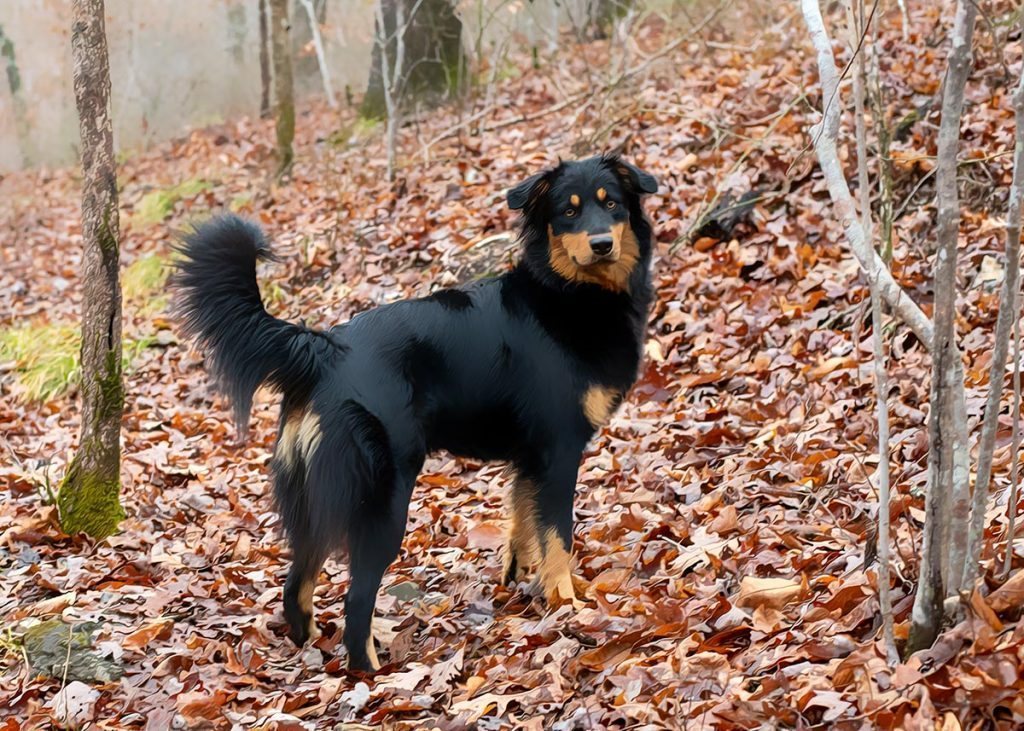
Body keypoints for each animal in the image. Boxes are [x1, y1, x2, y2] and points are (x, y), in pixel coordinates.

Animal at [172, 152, 655, 667]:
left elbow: (523, 527)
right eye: (568, 211)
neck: (566, 292)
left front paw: (522, 583)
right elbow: (558, 538)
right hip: (382, 498)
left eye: (613, 204)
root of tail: (326, 349)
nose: (602, 244)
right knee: (356, 600)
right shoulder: (558, 452)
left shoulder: (530, 460)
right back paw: (369, 672)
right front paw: (568, 604)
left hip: (316, 499)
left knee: (296, 584)